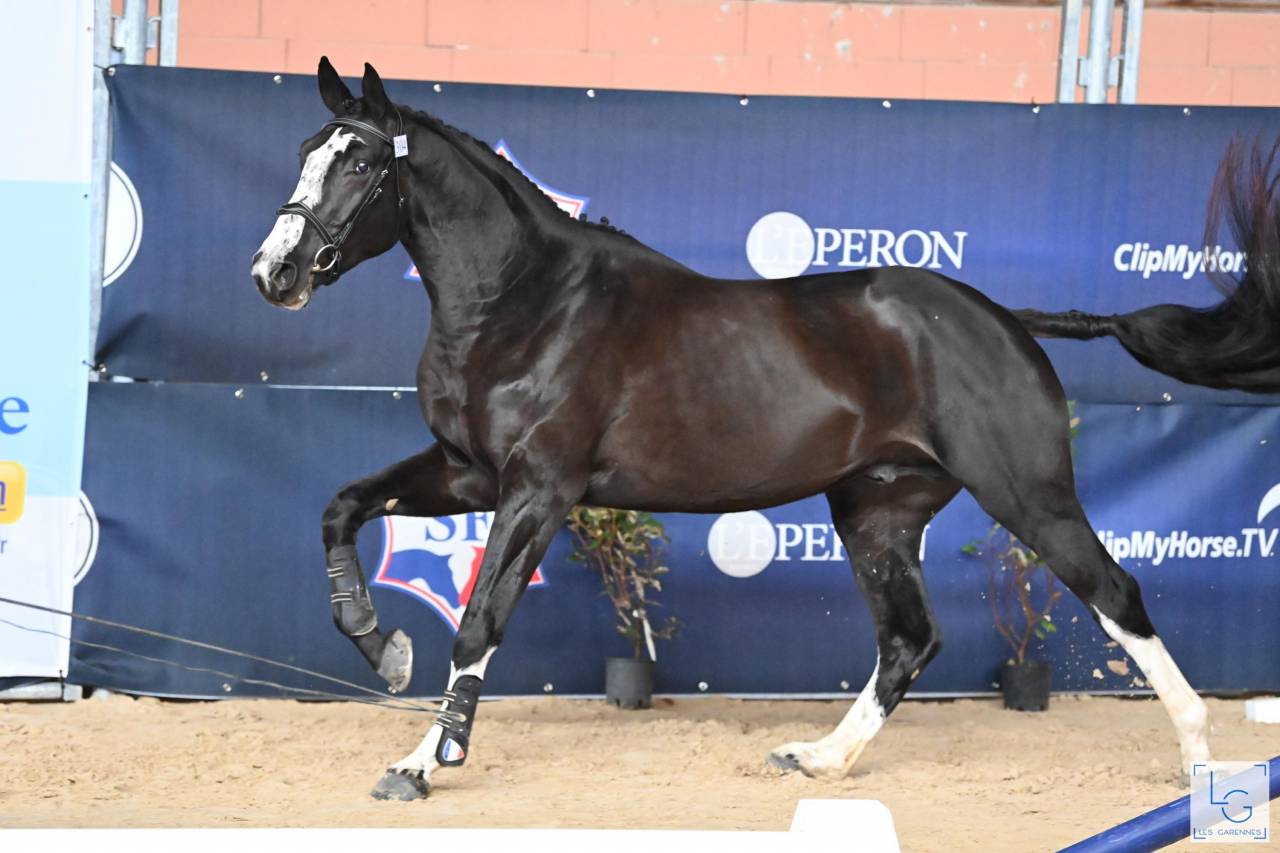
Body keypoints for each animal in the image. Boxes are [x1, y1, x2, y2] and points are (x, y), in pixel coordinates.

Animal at [250, 58, 1280, 801]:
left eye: (359, 160)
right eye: (305, 146)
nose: (274, 273)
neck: (528, 303)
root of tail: (1008, 319)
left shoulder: (537, 488)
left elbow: (480, 621)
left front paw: (426, 761)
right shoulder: (466, 471)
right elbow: (341, 508)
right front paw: (381, 646)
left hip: (1028, 494)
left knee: (1115, 593)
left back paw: (1201, 763)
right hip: (877, 510)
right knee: (909, 639)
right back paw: (820, 760)